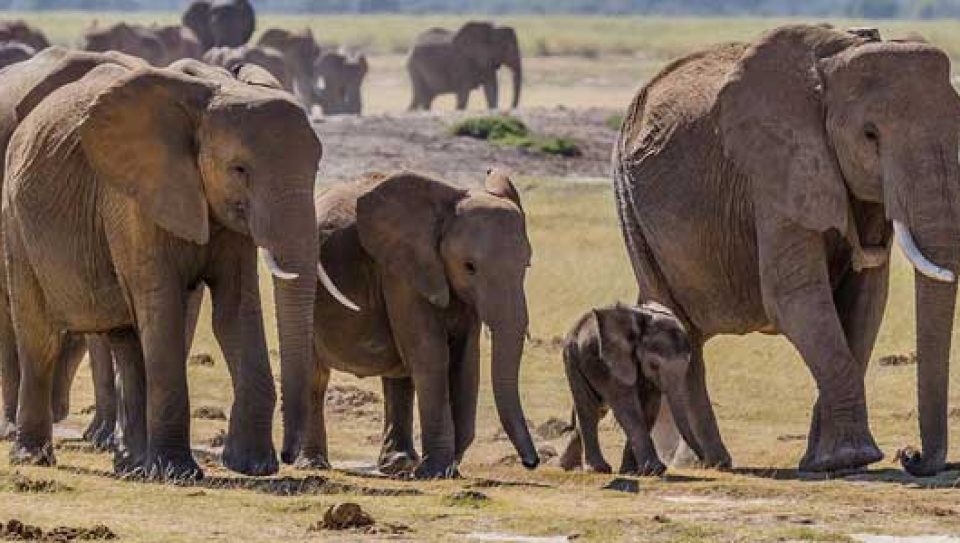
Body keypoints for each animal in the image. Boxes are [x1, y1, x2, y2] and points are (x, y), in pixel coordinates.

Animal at [3, 55, 326, 480]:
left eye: (316, 169)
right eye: (239, 169)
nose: (291, 456)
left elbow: (236, 311)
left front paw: (253, 466)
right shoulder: (132, 199)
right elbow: (162, 306)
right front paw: (178, 472)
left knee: (125, 335)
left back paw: (131, 466)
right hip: (16, 220)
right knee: (39, 334)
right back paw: (34, 456)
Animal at [294, 169, 539, 478]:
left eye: (527, 265)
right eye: (469, 267)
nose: (531, 462)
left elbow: (466, 361)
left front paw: (445, 470)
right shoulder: (402, 272)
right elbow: (431, 354)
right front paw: (435, 472)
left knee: (399, 372)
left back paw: (398, 465)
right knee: (316, 374)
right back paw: (314, 463)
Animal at [557, 303, 713, 476]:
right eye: (654, 365)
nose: (704, 462)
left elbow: (649, 408)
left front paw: (631, 472)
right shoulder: (612, 363)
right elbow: (628, 409)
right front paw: (656, 470)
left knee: (596, 411)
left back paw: (567, 466)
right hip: (573, 359)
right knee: (588, 409)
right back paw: (598, 469)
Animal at [613, 24, 960, 475]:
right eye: (870, 135)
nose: (911, 455)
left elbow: (866, 300)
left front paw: (827, 462)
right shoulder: (775, 170)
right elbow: (795, 296)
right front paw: (853, 458)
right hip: (629, 202)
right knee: (677, 323)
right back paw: (713, 462)